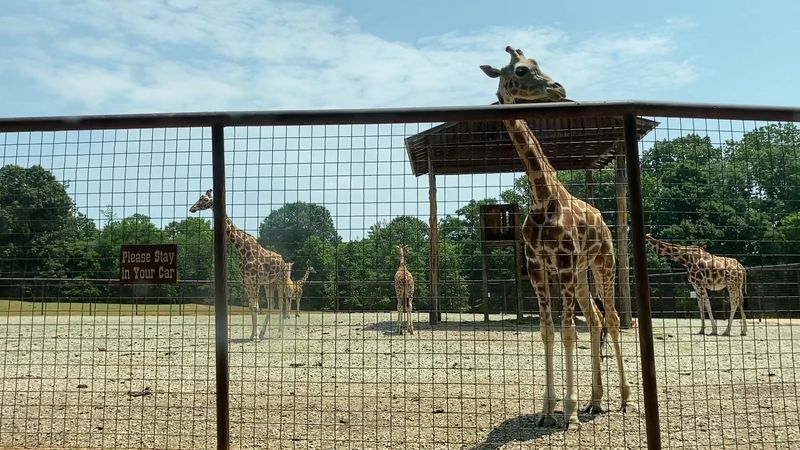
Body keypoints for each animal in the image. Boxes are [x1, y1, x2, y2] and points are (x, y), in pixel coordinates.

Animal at [189, 189, 291, 341]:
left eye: (205, 199)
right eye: (199, 197)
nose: (192, 208)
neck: (242, 249)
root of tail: (284, 262)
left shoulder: (254, 280)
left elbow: (255, 306)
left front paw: (255, 337)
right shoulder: (246, 281)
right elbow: (251, 306)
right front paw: (253, 335)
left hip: (281, 281)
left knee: (281, 303)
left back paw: (279, 333)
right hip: (269, 283)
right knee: (271, 304)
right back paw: (263, 333)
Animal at [481, 46, 629, 429]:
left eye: (538, 62)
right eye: (521, 70)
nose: (559, 88)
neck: (541, 196)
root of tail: (603, 220)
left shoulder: (562, 264)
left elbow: (566, 331)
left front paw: (570, 413)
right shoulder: (538, 268)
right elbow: (548, 331)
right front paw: (549, 411)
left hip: (603, 263)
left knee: (612, 319)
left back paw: (622, 399)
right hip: (580, 275)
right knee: (595, 319)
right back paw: (596, 401)